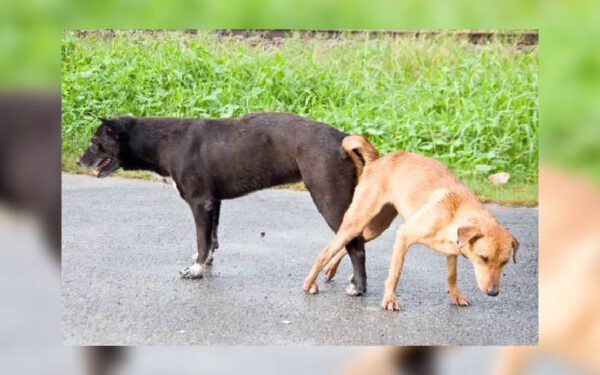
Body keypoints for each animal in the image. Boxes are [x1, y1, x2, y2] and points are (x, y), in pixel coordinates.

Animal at [77, 113, 368, 296]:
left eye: (96, 143)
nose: (79, 161)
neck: (164, 141)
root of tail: (341, 139)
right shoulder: (212, 202)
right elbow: (211, 239)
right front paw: (205, 263)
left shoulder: (199, 202)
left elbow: (200, 240)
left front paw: (195, 271)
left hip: (330, 200)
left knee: (356, 246)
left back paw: (358, 288)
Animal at [302, 135, 516, 312]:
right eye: (483, 258)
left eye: (505, 262)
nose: (493, 293)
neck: (455, 213)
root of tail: (378, 159)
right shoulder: (403, 235)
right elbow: (395, 274)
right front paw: (389, 300)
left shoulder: (452, 250)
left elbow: (451, 275)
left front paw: (455, 295)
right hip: (357, 220)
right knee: (327, 250)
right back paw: (309, 282)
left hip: (375, 227)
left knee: (351, 244)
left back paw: (331, 270)